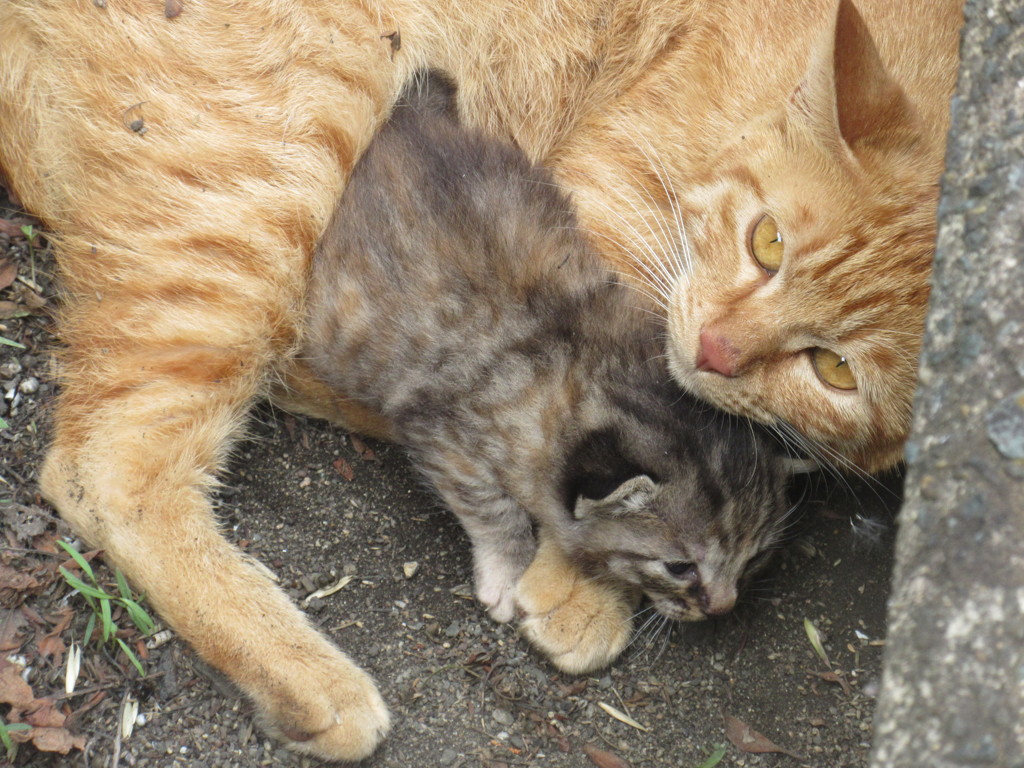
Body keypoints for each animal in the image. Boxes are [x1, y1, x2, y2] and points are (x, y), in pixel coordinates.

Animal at [303, 73, 790, 626]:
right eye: (679, 567)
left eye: (753, 557)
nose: (722, 607)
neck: (588, 365)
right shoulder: (445, 434)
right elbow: (494, 506)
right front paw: (507, 569)